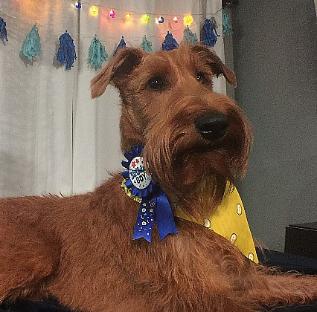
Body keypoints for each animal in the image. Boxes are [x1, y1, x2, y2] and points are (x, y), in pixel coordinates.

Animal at [0, 44, 316, 312]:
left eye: (202, 77)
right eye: (155, 83)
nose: (215, 123)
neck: (192, 196)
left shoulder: (241, 279)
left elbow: (296, 282)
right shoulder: (197, 295)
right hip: (36, 253)